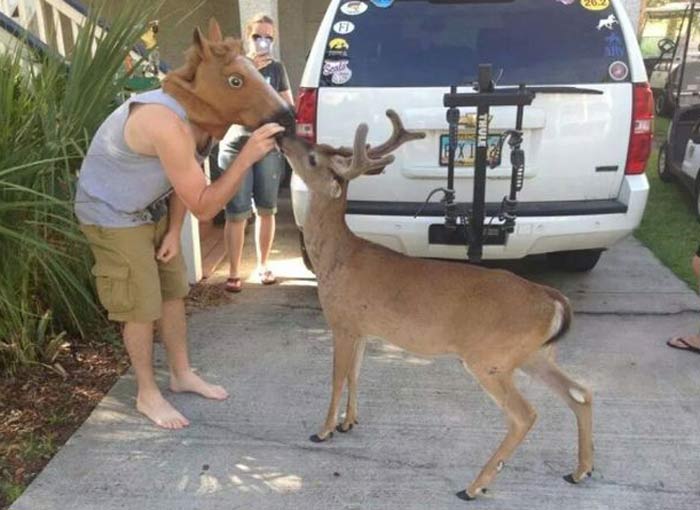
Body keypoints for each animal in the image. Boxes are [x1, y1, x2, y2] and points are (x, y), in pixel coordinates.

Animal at [276, 109, 592, 500]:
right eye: (316, 147)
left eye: (312, 158)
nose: (281, 135)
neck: (337, 257)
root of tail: (552, 299)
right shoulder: (364, 329)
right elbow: (355, 374)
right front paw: (349, 422)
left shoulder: (342, 321)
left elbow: (337, 378)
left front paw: (324, 430)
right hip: (533, 354)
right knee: (581, 392)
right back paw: (580, 471)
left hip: (490, 357)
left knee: (526, 414)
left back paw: (474, 486)